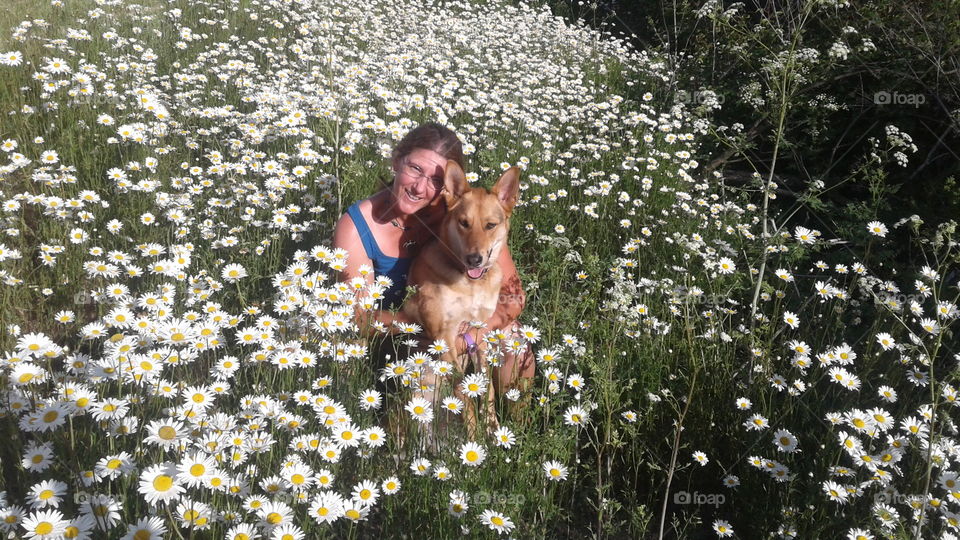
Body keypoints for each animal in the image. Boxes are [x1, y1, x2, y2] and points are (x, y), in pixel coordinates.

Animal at [404, 160, 524, 434]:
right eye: (463, 223)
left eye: (490, 225)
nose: (474, 259)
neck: (470, 284)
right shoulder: (444, 335)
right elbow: (463, 391)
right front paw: (474, 434)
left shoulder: (479, 334)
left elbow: (486, 388)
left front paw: (491, 427)